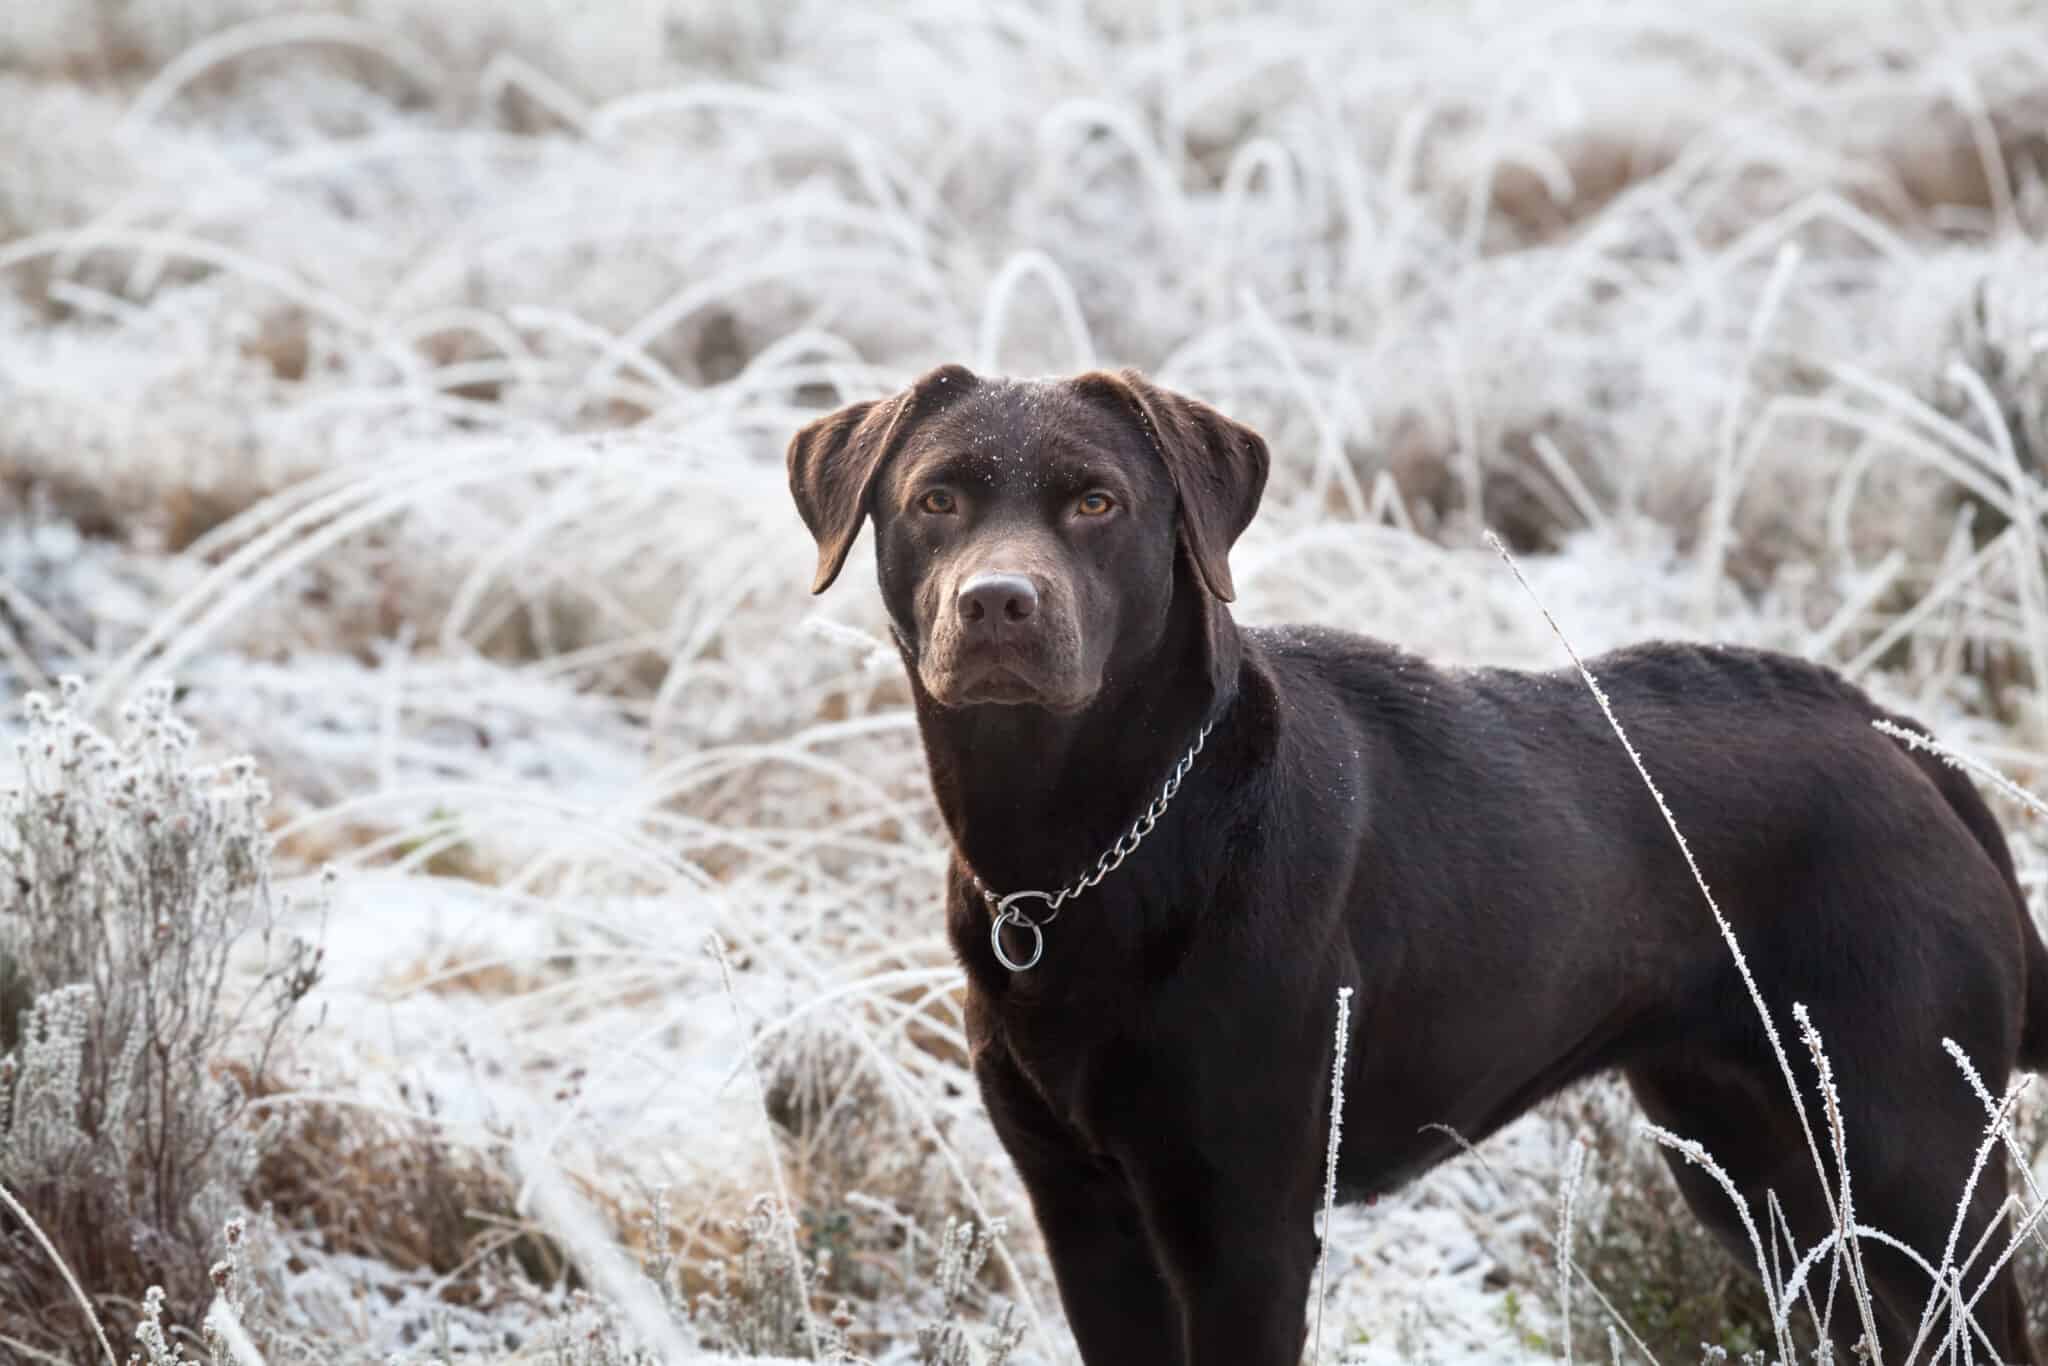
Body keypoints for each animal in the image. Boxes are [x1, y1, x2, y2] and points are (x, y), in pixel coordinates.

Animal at [786, 366, 2048, 1366]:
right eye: (936, 499)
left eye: (1096, 502)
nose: (998, 602)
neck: (1079, 848)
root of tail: (1898, 739)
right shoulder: (1083, 1215)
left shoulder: (1243, 1227)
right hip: (1760, 1165)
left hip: (1914, 1158)